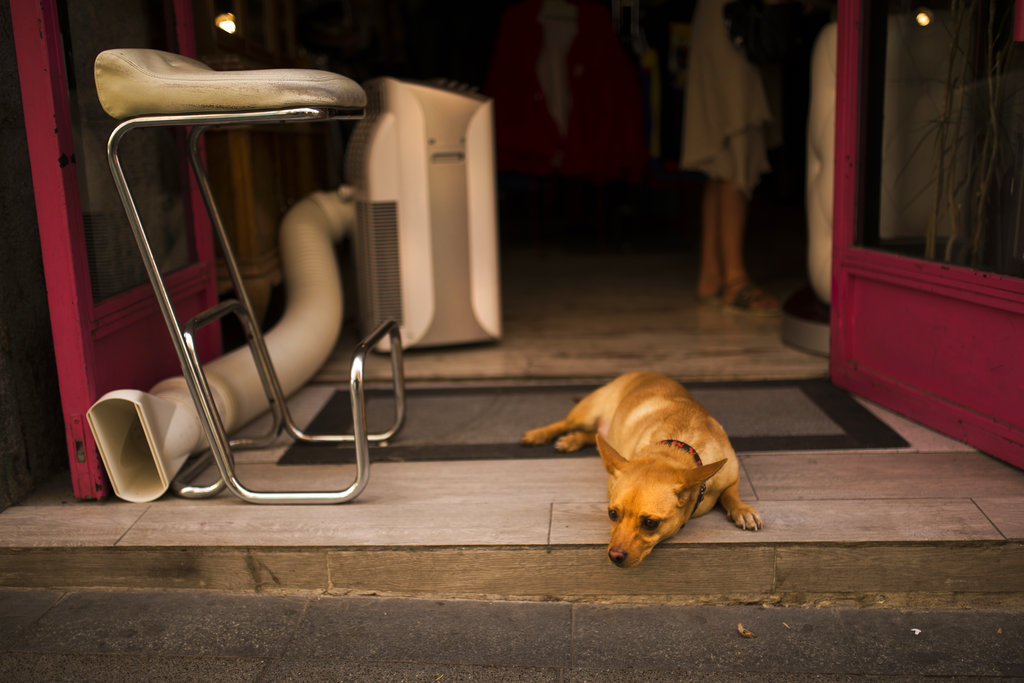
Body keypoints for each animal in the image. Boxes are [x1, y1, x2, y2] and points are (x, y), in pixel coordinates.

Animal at [520, 370, 761, 569]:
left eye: (650, 523)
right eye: (612, 513)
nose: (614, 556)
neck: (677, 448)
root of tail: (643, 372)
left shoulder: (732, 477)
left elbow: (730, 493)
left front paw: (742, 510)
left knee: (594, 435)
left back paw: (573, 440)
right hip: (586, 412)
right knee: (565, 423)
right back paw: (540, 434)